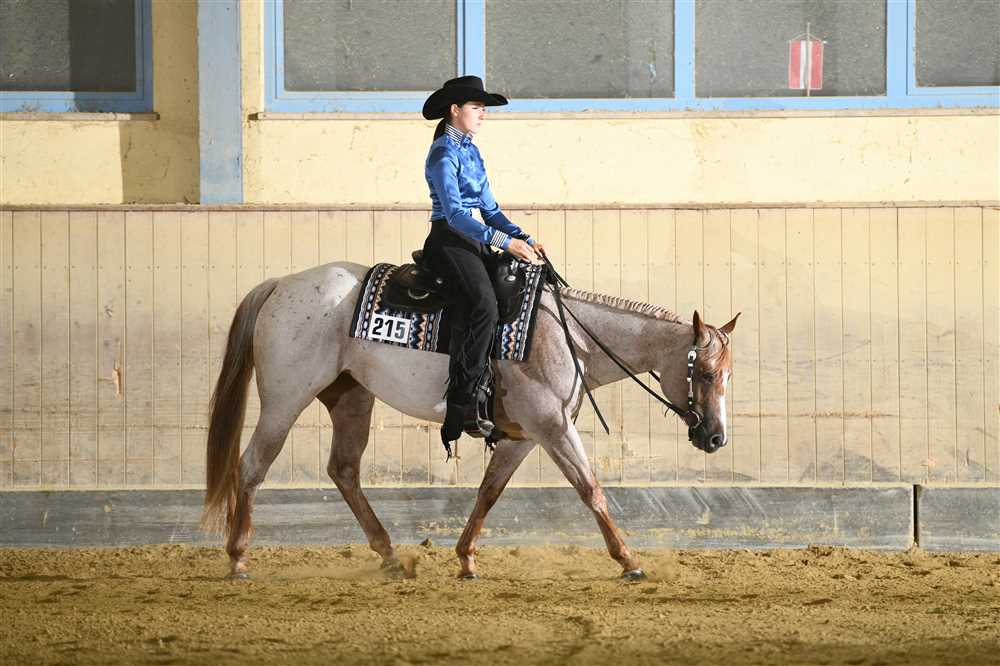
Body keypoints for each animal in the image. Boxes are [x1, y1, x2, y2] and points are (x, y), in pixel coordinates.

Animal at [201, 260, 739, 580]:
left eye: (728, 374)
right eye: (707, 372)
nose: (716, 437)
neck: (570, 337)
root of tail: (280, 284)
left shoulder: (525, 436)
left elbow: (488, 492)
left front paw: (466, 559)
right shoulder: (553, 427)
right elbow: (591, 490)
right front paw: (629, 561)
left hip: (351, 398)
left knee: (344, 470)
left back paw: (390, 555)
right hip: (284, 400)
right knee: (252, 466)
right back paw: (238, 558)